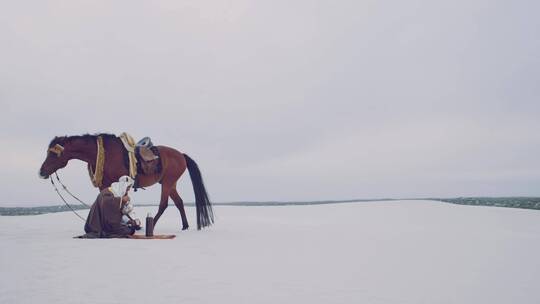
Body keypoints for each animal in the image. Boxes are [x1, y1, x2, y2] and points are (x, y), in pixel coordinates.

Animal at [38, 133, 213, 230]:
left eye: (53, 154)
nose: (41, 172)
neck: (104, 154)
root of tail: (181, 155)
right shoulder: (105, 185)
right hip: (170, 184)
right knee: (179, 202)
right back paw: (184, 226)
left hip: (168, 183)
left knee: (164, 205)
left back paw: (151, 226)